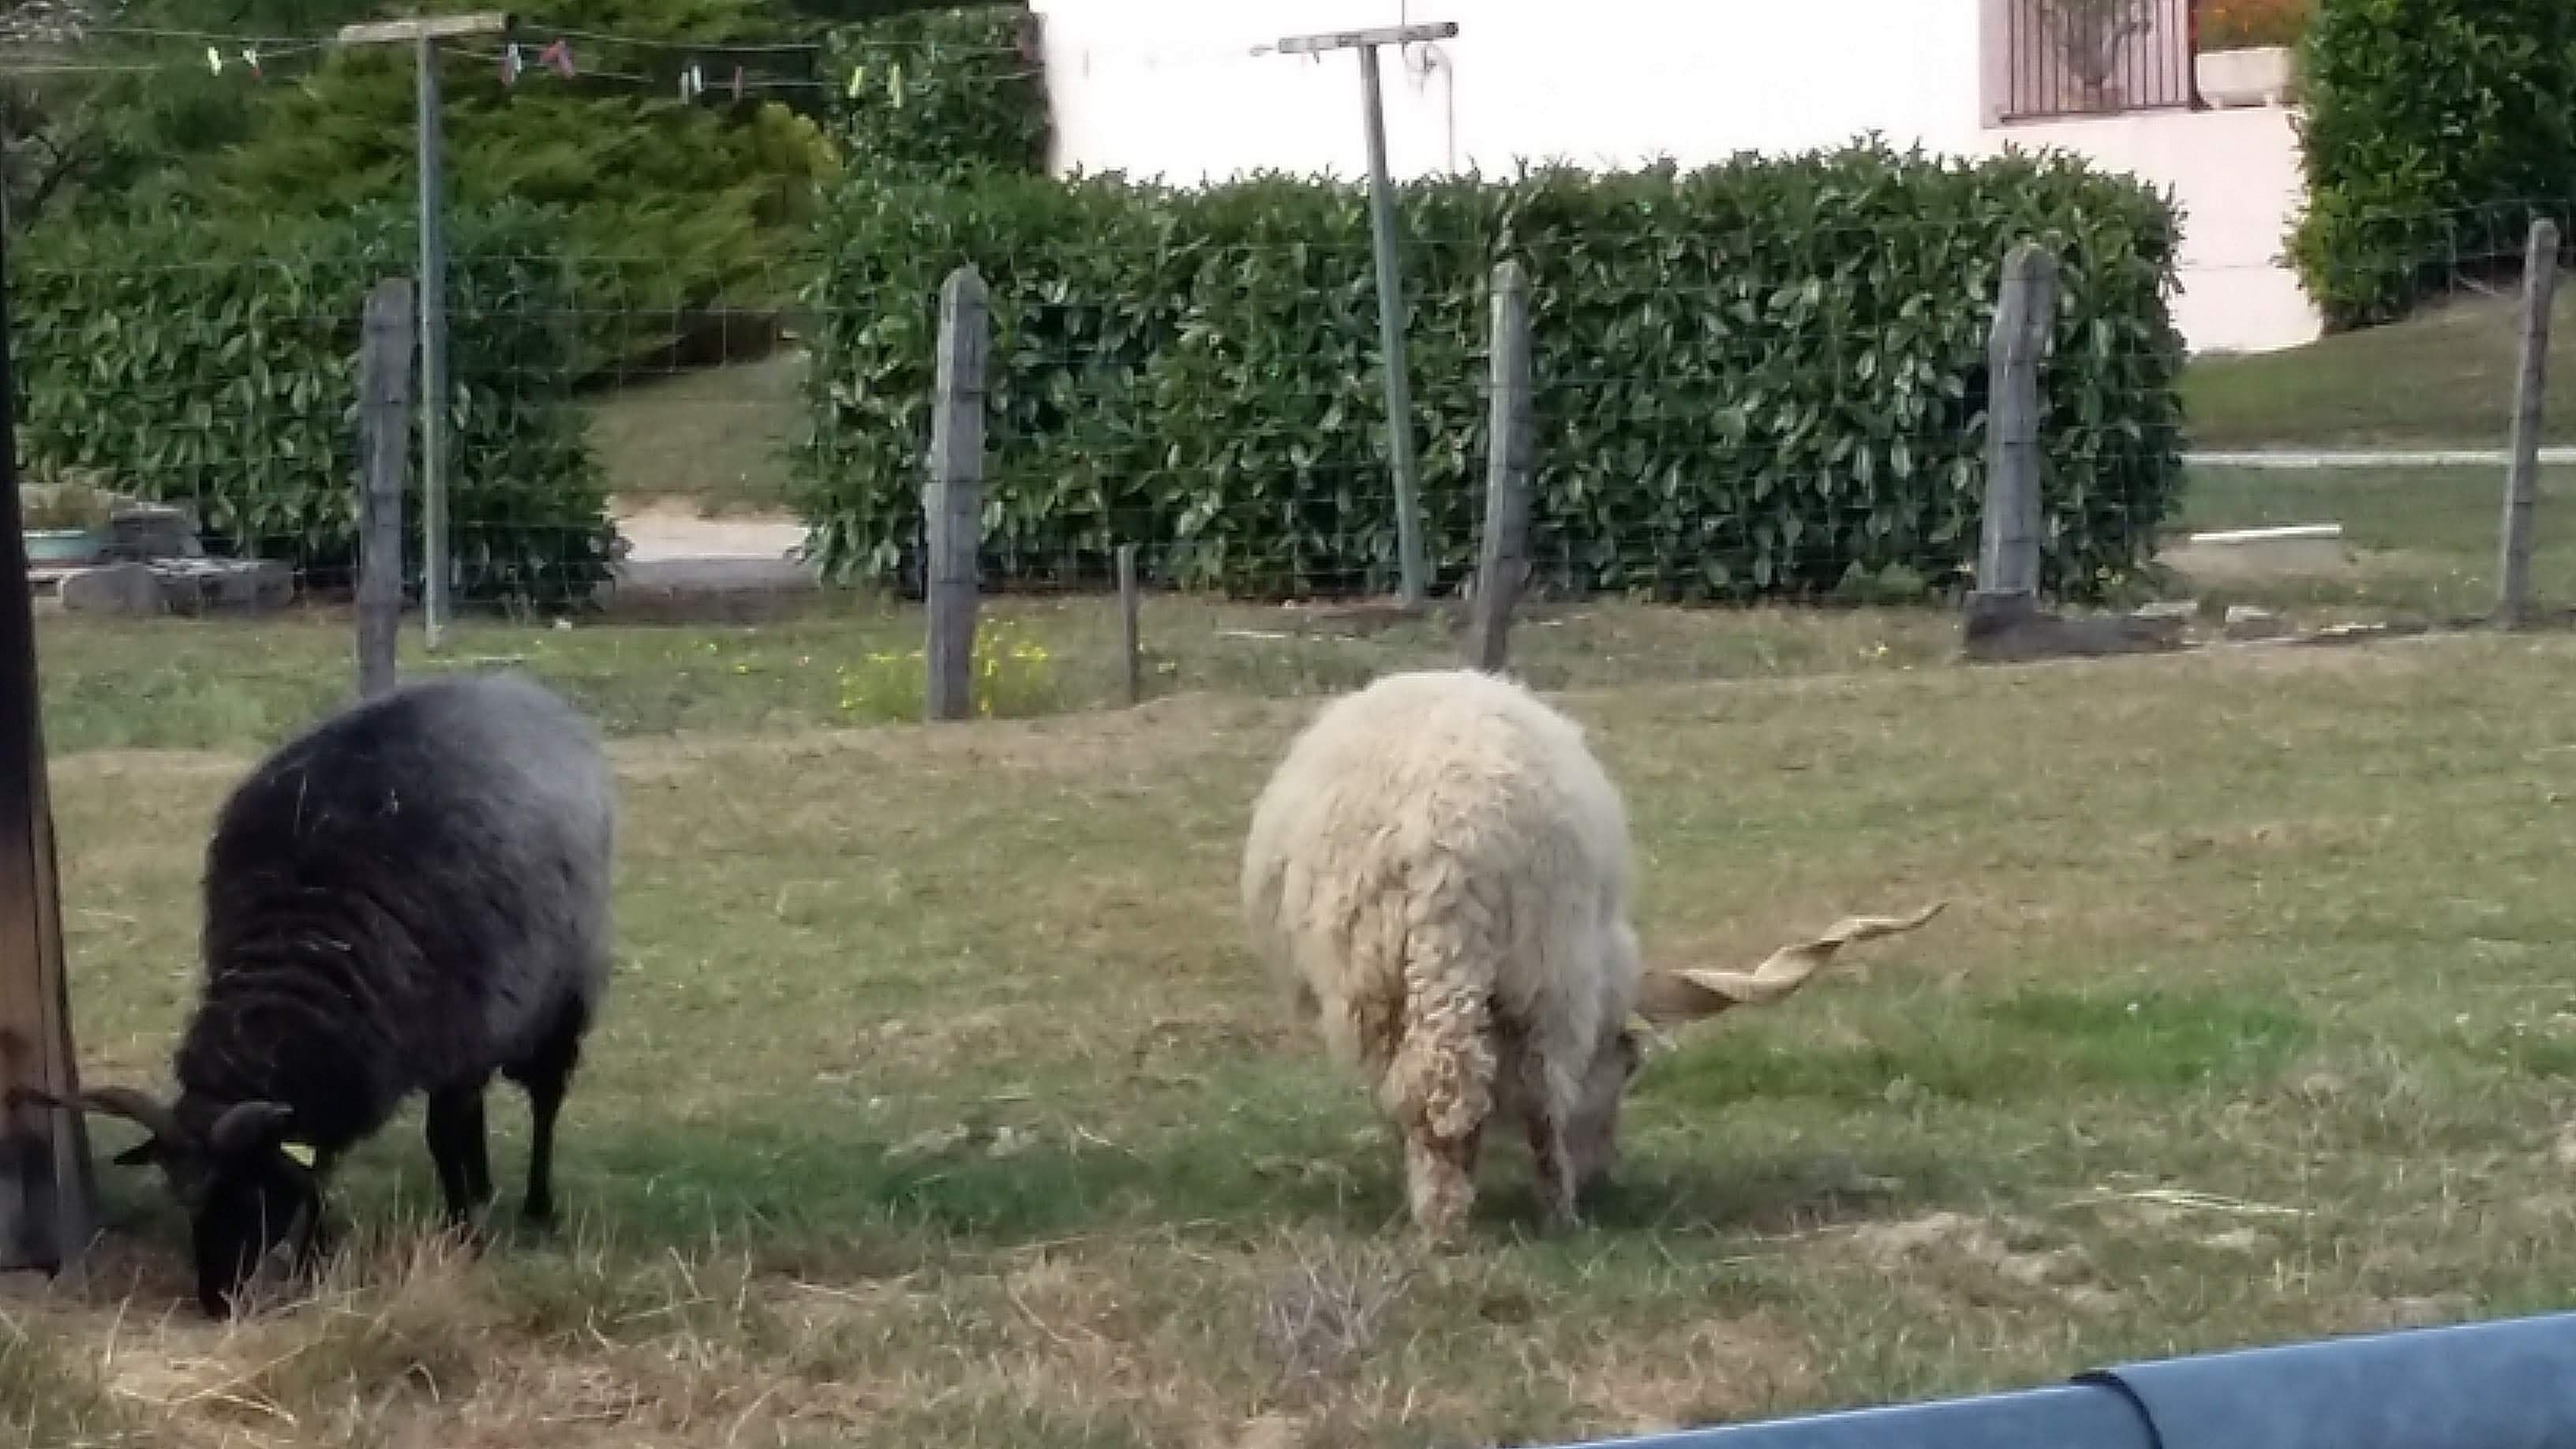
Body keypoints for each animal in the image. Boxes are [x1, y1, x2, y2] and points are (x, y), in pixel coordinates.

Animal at [18, 669, 616, 1317]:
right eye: (184, 1198)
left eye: (252, 1191)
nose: (216, 1301)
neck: (307, 942)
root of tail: (509, 682)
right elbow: (322, 1162)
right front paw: (317, 1253)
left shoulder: (456, 1029)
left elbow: (439, 1138)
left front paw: (463, 1236)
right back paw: (484, 1190)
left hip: (560, 997)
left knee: (544, 1101)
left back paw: (536, 1206)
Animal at [1239, 667, 1941, 1241]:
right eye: (1628, 1066)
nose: (1608, 1174)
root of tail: (1447, 841)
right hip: (1536, 970)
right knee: (1521, 1091)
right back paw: (1533, 1211)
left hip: (1414, 976)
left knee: (1451, 1084)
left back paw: (1462, 1214)